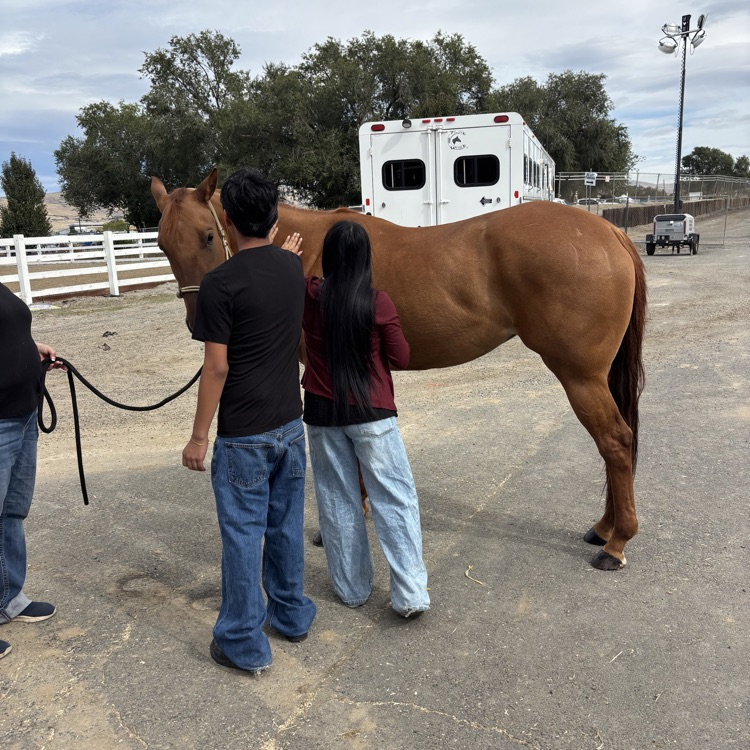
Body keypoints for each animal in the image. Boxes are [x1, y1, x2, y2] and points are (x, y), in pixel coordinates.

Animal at [150, 167, 646, 571]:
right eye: (162, 245)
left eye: (208, 236)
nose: (199, 325)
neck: (307, 253)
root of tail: (608, 231)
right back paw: (604, 529)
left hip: (580, 377)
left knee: (616, 442)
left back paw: (615, 544)